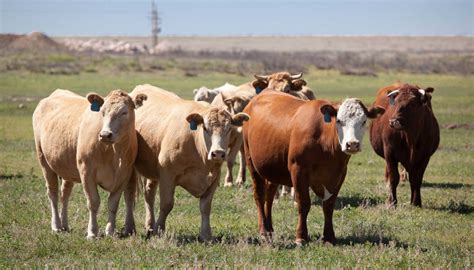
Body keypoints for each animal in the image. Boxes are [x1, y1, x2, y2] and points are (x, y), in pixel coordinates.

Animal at [32, 89, 145, 238]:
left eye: (124, 112)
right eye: (102, 112)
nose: (105, 134)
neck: (114, 152)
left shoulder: (123, 175)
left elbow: (113, 204)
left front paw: (110, 231)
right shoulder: (86, 172)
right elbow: (93, 202)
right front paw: (92, 232)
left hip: (67, 168)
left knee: (65, 193)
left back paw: (65, 224)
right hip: (44, 161)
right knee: (53, 193)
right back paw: (56, 226)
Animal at [128, 84, 250, 240]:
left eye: (229, 128)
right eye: (205, 128)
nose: (218, 153)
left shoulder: (214, 177)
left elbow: (205, 207)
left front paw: (206, 234)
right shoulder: (167, 174)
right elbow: (166, 204)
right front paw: (159, 230)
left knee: (149, 194)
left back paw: (149, 225)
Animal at [243, 90, 384, 245]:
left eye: (364, 121)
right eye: (339, 121)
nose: (352, 144)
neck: (324, 141)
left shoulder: (339, 174)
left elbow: (328, 205)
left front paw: (329, 236)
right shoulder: (298, 169)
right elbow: (304, 203)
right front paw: (301, 237)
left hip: (273, 169)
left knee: (269, 196)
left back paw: (270, 229)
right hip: (251, 162)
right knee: (259, 195)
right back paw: (264, 231)